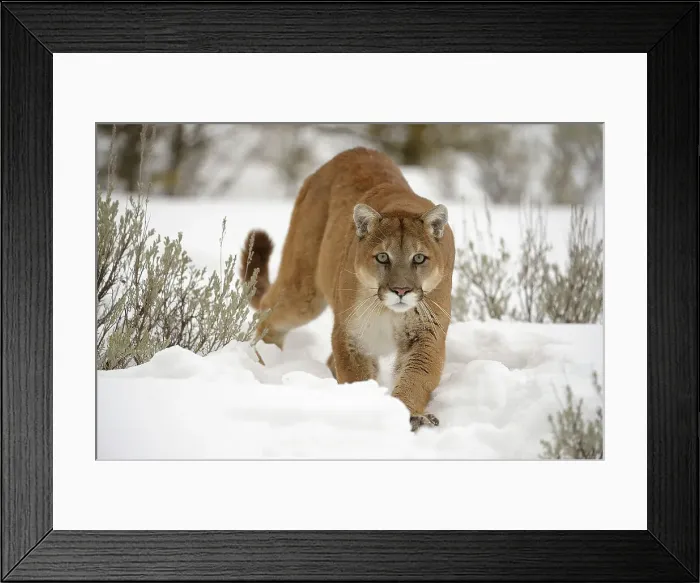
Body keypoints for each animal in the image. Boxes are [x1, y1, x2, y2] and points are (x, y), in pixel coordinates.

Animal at [241, 147, 454, 431]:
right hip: (304, 291)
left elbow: (417, 377)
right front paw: (366, 407)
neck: (389, 312)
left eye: (419, 258)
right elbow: (357, 376)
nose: (400, 291)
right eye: (382, 257)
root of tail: (353, 151)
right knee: (268, 313)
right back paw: (264, 360)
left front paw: (409, 414)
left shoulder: (427, 334)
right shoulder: (351, 333)